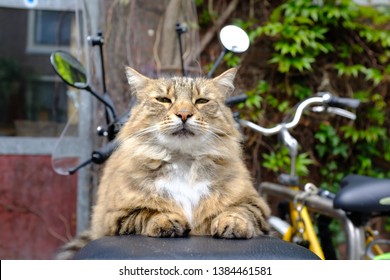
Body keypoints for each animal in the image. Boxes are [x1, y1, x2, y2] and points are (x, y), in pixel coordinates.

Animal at [55, 66, 272, 260]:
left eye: (201, 101)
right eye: (164, 100)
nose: (184, 114)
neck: (184, 161)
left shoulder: (255, 204)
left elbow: (240, 211)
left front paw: (232, 223)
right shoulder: (116, 216)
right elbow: (147, 212)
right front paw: (167, 220)